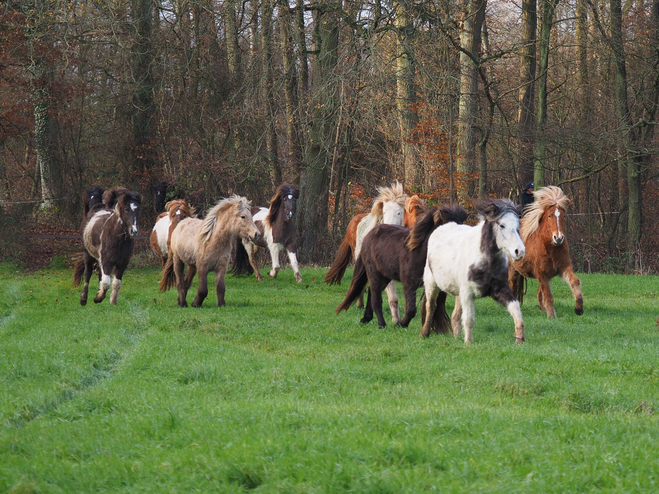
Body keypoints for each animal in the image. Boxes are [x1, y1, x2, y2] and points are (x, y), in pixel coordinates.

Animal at [336, 205, 470, 328]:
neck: (420, 252)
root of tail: (367, 236)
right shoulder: (409, 283)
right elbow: (411, 309)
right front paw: (400, 324)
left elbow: (431, 308)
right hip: (374, 273)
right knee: (376, 298)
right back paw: (381, 324)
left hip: (385, 276)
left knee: (372, 294)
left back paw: (366, 318)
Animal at [422, 199, 524, 346]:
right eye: (502, 225)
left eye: (518, 225)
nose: (519, 251)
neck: (486, 261)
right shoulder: (468, 293)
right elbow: (469, 318)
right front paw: (468, 343)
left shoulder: (500, 289)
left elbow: (515, 308)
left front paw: (520, 338)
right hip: (431, 284)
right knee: (430, 306)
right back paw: (424, 333)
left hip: (458, 292)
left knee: (455, 315)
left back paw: (457, 337)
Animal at [508, 184, 584, 316]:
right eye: (549, 215)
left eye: (564, 215)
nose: (558, 238)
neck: (550, 248)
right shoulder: (542, 273)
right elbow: (548, 295)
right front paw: (552, 316)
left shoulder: (563, 268)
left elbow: (575, 281)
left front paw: (579, 308)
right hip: (513, 270)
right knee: (513, 287)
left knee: (539, 293)